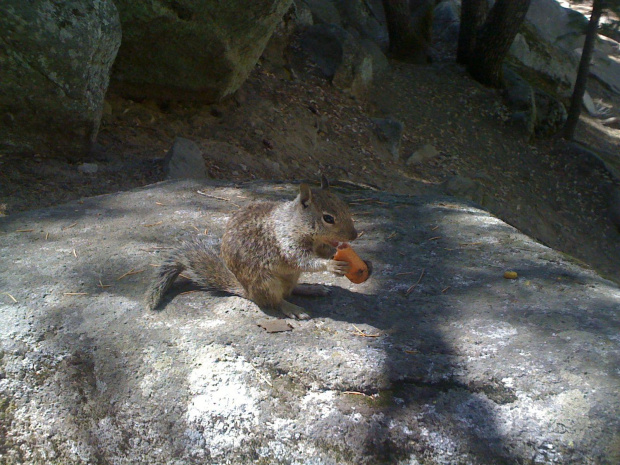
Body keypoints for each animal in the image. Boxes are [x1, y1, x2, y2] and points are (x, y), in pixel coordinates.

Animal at [145, 175, 358, 320]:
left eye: (345, 206)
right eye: (328, 218)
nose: (354, 235)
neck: (295, 223)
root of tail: (246, 290)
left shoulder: (319, 244)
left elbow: (322, 252)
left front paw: (337, 253)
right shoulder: (286, 242)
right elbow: (302, 259)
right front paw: (332, 265)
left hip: (288, 278)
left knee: (290, 290)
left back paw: (311, 288)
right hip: (265, 281)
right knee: (274, 300)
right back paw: (293, 308)